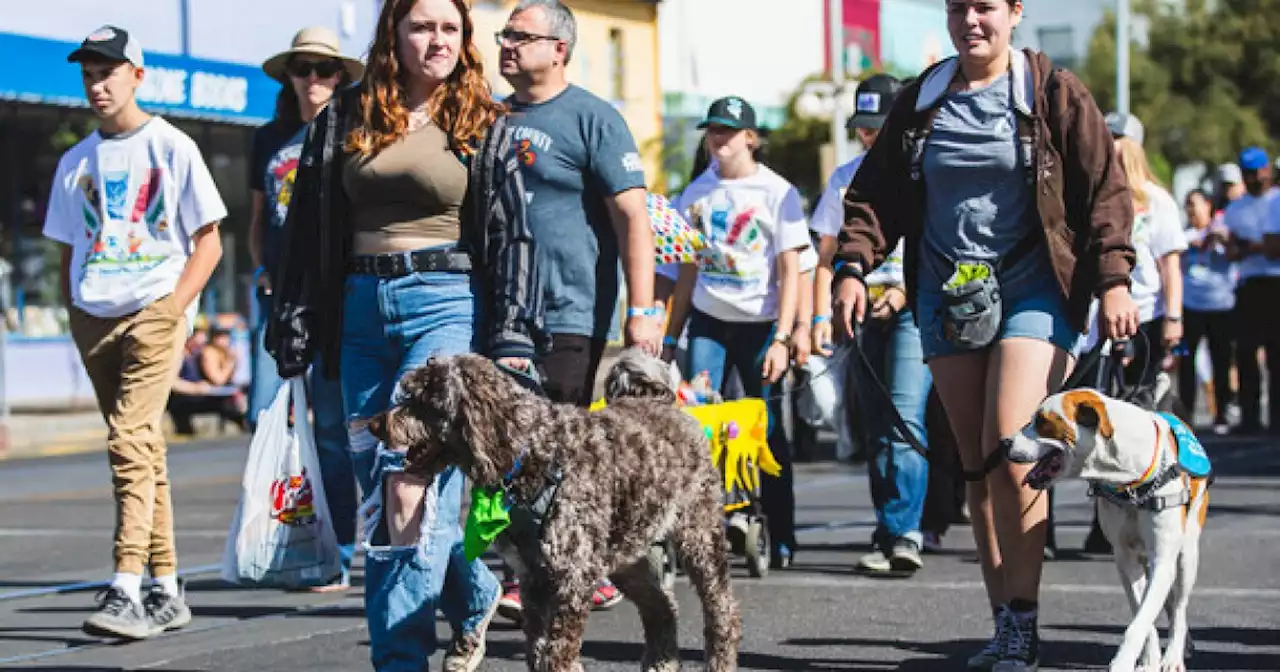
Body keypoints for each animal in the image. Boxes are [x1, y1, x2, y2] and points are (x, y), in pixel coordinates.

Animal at [368, 350, 742, 670]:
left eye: (422, 401)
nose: (374, 424)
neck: (529, 452)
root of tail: (663, 401)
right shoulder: (534, 579)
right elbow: (538, 648)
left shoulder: (573, 578)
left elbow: (558, 651)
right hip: (626, 557)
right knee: (662, 607)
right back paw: (660, 663)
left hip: (700, 540)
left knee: (723, 614)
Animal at [1008, 386, 1208, 670]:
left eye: (1043, 422)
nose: (1005, 443)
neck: (1128, 480)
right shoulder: (1126, 559)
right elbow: (1142, 615)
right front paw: (1148, 659)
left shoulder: (1162, 559)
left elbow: (1141, 620)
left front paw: (1124, 662)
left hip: (1186, 555)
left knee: (1179, 606)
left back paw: (1174, 655)